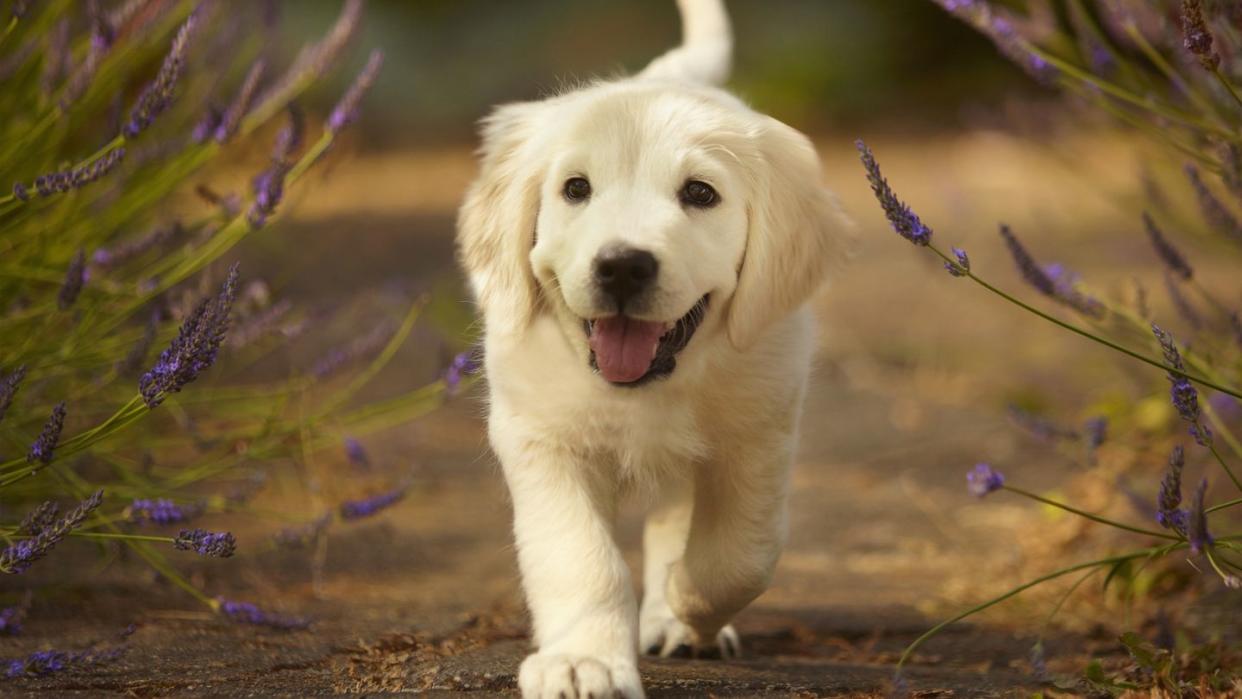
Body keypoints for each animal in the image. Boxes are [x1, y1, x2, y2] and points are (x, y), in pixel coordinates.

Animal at [457, 2, 854, 695]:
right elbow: (580, 557)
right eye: (576, 188)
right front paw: (582, 660)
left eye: (700, 193)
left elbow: (741, 555)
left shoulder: (760, 430)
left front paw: (684, 604)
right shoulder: (540, 438)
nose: (621, 266)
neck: (649, 386)